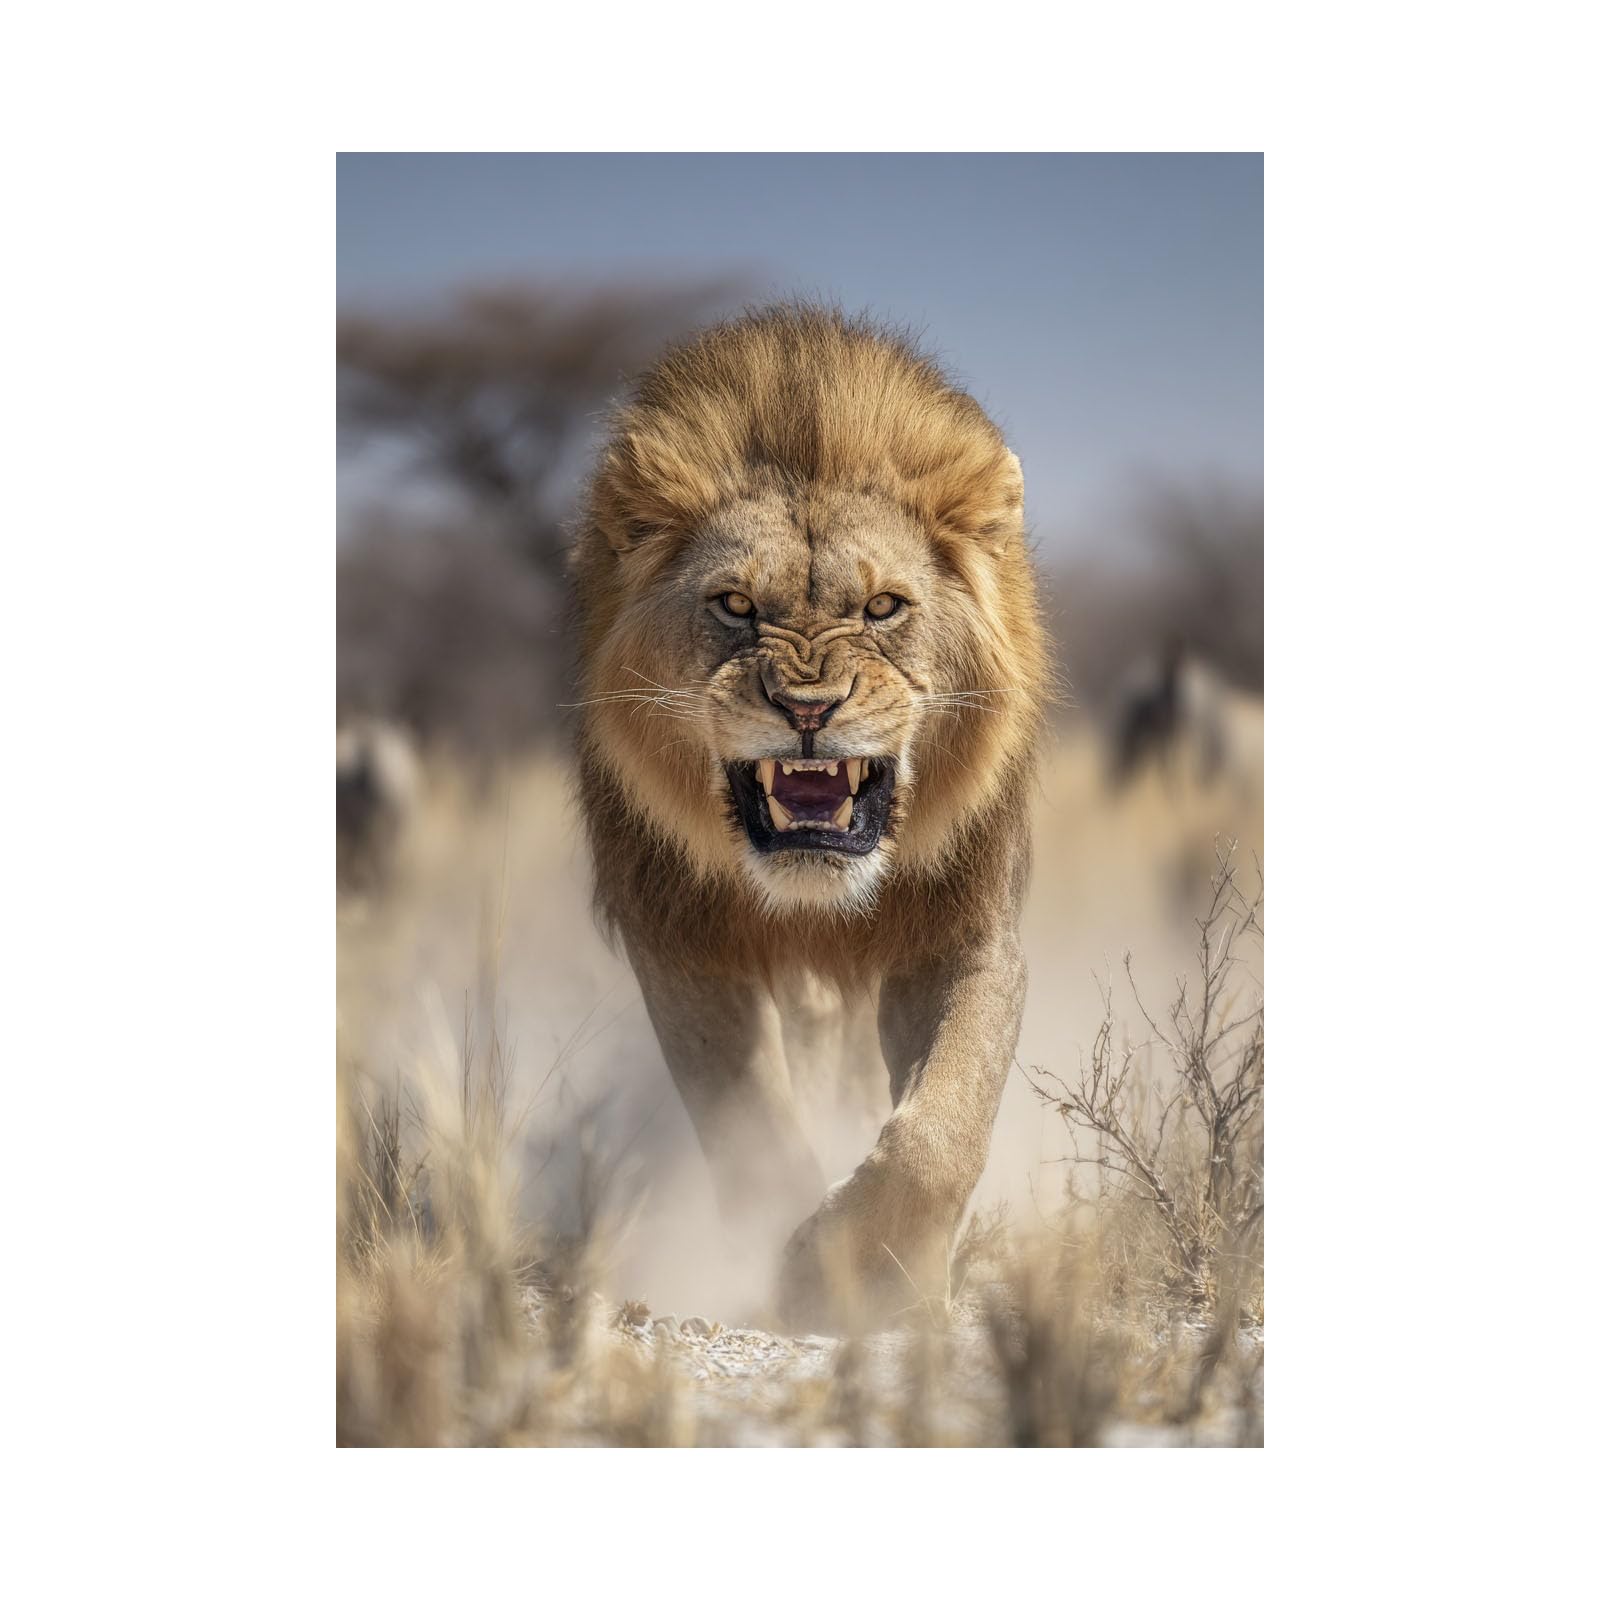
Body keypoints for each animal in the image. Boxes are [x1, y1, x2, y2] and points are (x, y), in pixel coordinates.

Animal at [571, 306, 1049, 1328]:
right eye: (735, 604)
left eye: (883, 606)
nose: (806, 709)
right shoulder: (679, 939)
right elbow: (749, 1123)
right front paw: (793, 1256)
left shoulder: (966, 930)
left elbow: (939, 1132)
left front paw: (859, 1278)